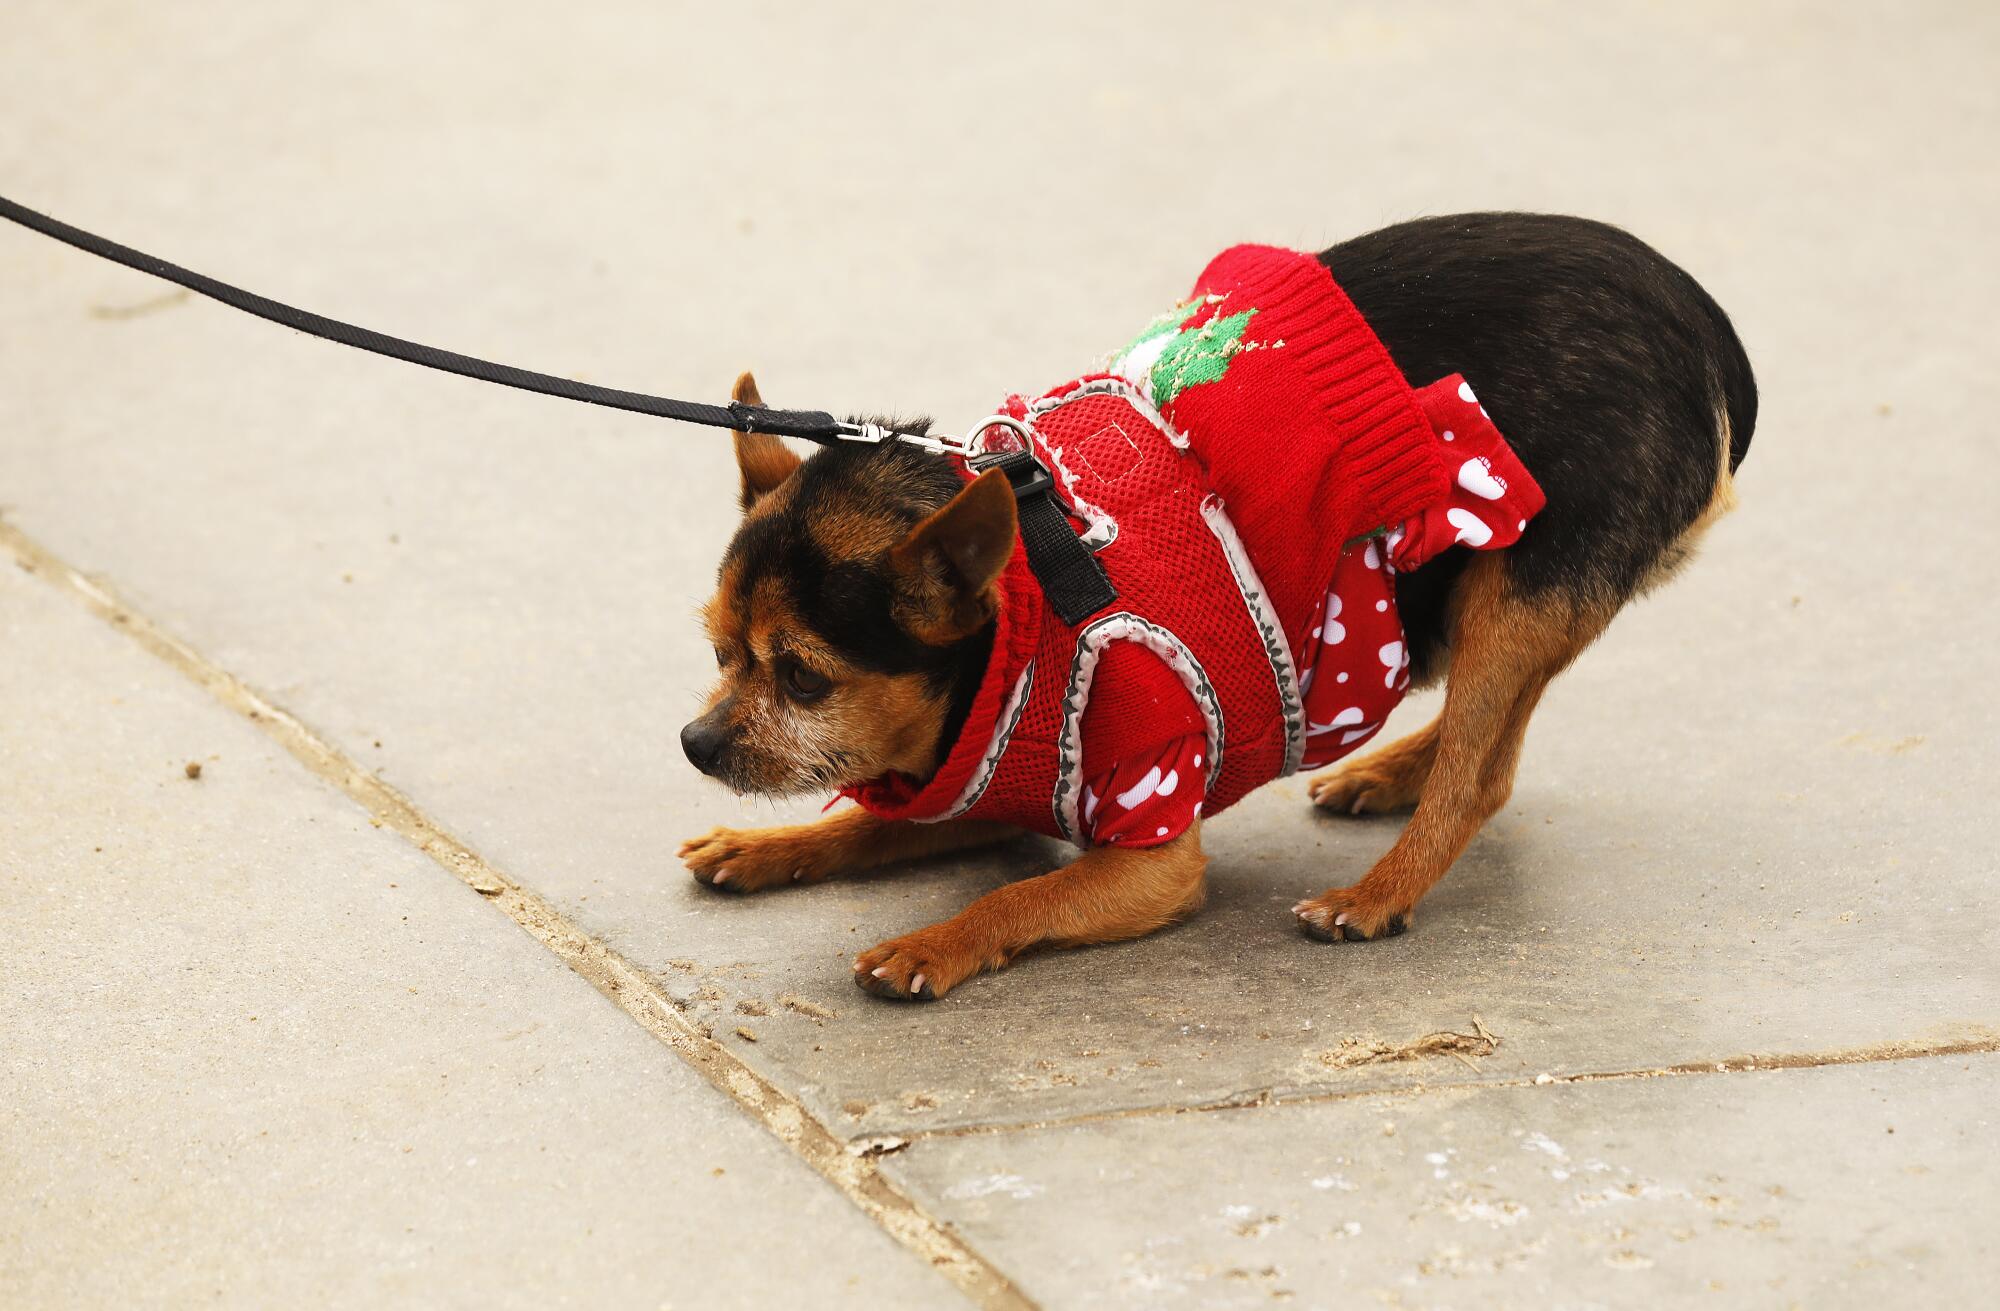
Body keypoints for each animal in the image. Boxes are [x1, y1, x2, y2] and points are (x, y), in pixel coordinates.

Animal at [672, 209, 1752, 999]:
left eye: (803, 678)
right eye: (718, 652)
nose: (694, 742)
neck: (1022, 625)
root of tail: (1694, 316)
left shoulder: (1152, 856)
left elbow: (1021, 897)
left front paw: (931, 943)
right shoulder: (981, 789)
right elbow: (866, 823)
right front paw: (768, 846)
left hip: (1517, 588)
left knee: (1481, 776)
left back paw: (1379, 891)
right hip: (1481, 591)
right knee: (1494, 734)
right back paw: (1394, 770)